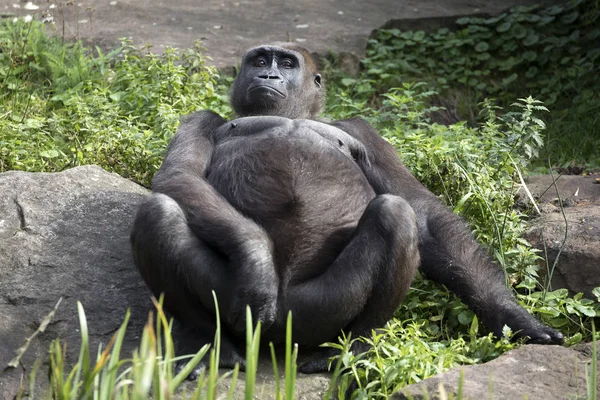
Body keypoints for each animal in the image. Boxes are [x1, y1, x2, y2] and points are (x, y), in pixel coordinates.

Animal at [130, 41, 564, 376]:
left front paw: (511, 314)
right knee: (160, 213)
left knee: (395, 214)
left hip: (316, 315)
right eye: (260, 60)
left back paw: (355, 346)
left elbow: (423, 213)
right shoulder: (199, 118)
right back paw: (211, 342)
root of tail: (278, 339)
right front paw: (256, 259)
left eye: (286, 64)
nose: (268, 77)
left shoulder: (361, 129)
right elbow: (180, 176)